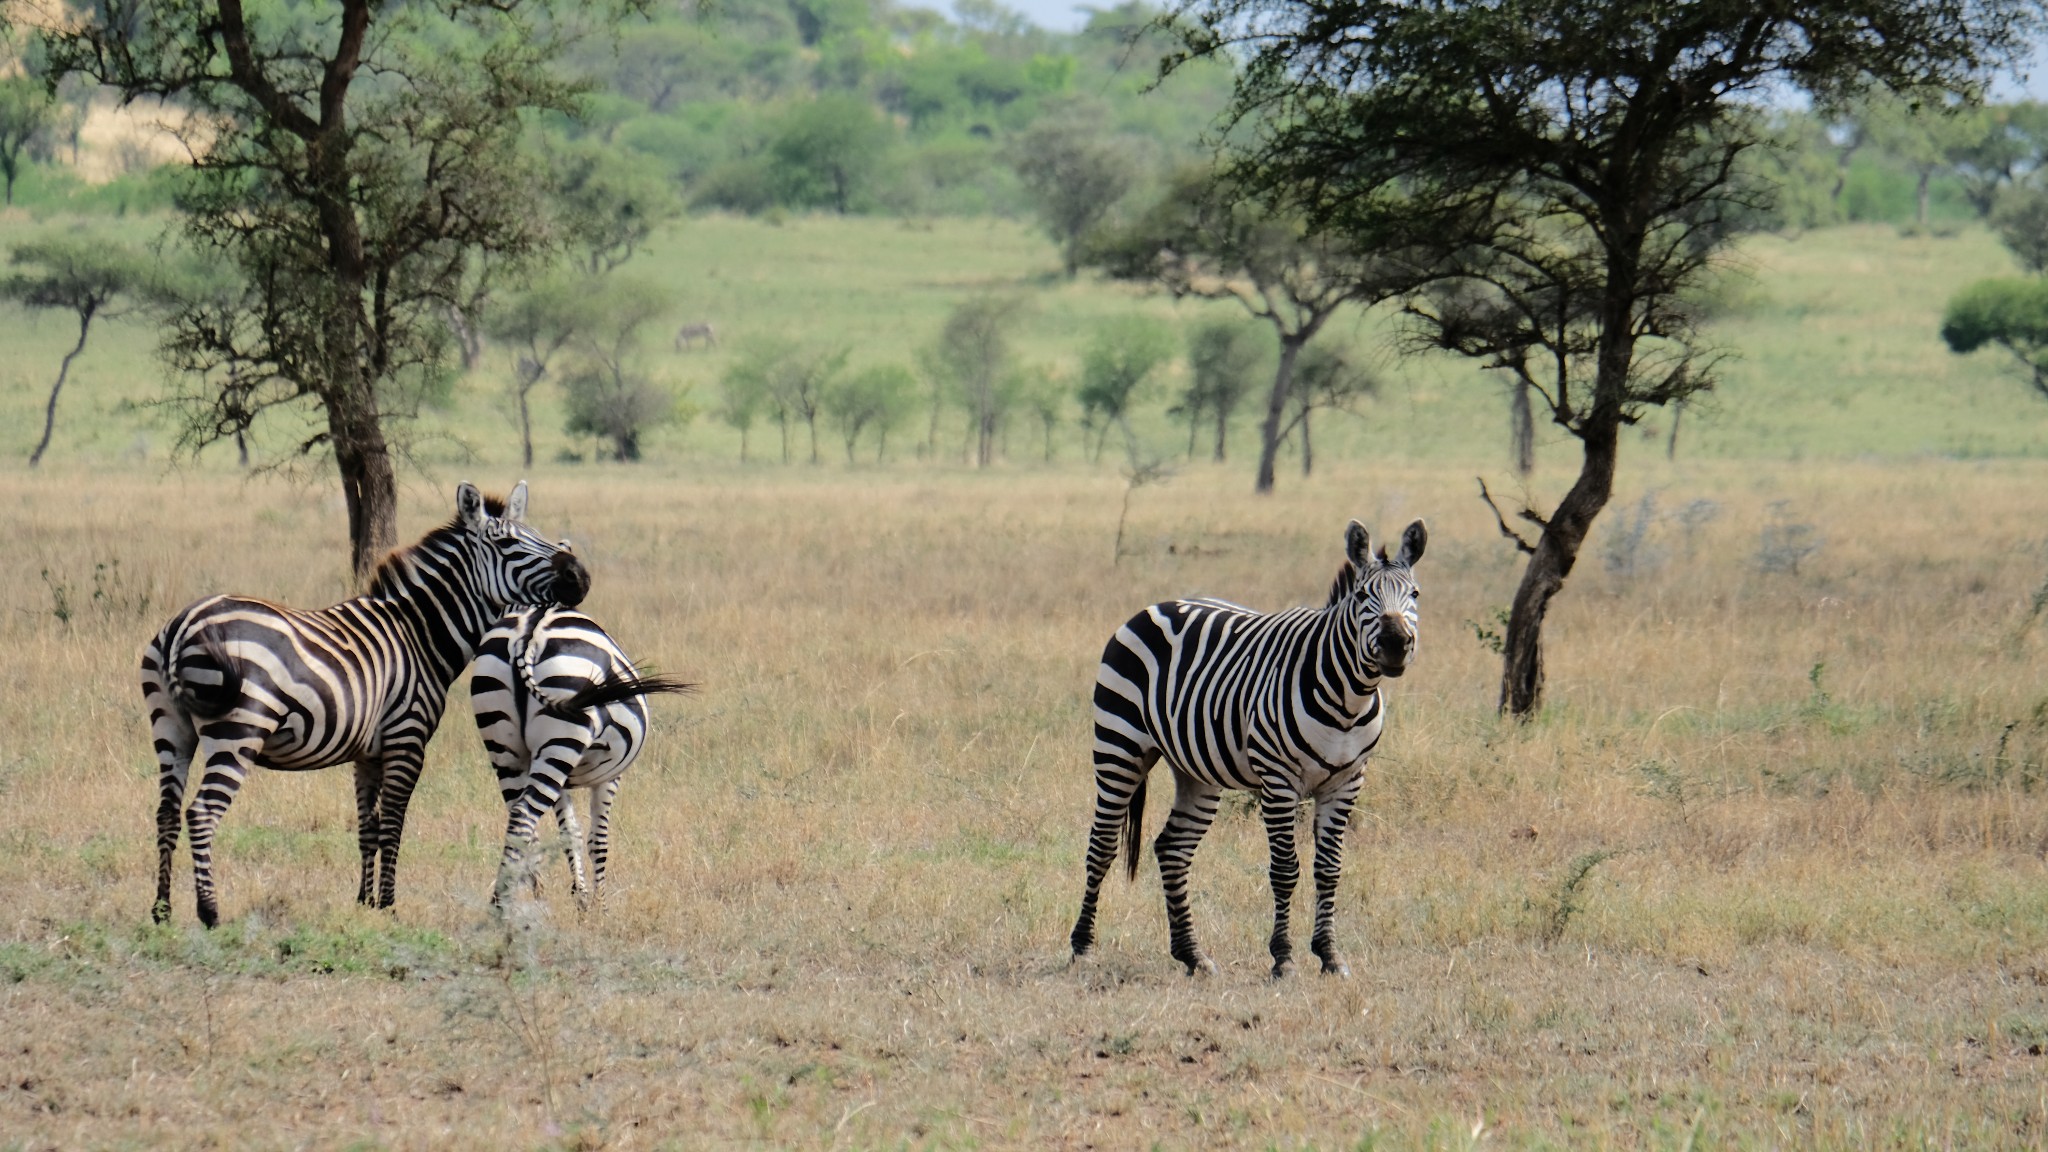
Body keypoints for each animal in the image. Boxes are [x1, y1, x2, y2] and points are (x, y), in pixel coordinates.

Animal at [140, 477, 589, 922]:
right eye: (508, 544)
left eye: (538, 535)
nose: (581, 575)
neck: (419, 634)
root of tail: (183, 625)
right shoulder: (406, 739)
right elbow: (392, 824)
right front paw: (389, 907)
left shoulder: (367, 753)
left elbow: (367, 828)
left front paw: (364, 902)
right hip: (238, 730)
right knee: (201, 813)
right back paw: (209, 912)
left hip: (171, 728)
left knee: (166, 813)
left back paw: (162, 910)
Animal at [468, 606, 692, 910]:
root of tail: (530, 631)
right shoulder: (610, 777)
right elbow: (597, 840)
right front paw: (601, 907)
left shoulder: (559, 778)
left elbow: (570, 834)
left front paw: (582, 900)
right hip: (561, 737)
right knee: (525, 815)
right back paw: (501, 904)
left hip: (506, 749)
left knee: (519, 821)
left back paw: (531, 900)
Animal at [1073, 516, 1425, 971]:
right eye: (1364, 595)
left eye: (1415, 594)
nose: (1397, 644)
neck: (1349, 698)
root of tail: (1158, 605)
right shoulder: (1278, 780)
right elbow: (1285, 870)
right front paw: (1283, 958)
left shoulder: (1347, 781)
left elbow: (1329, 869)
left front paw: (1330, 955)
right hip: (1119, 745)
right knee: (1102, 843)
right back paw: (1082, 946)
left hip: (1197, 771)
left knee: (1172, 848)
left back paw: (1192, 955)